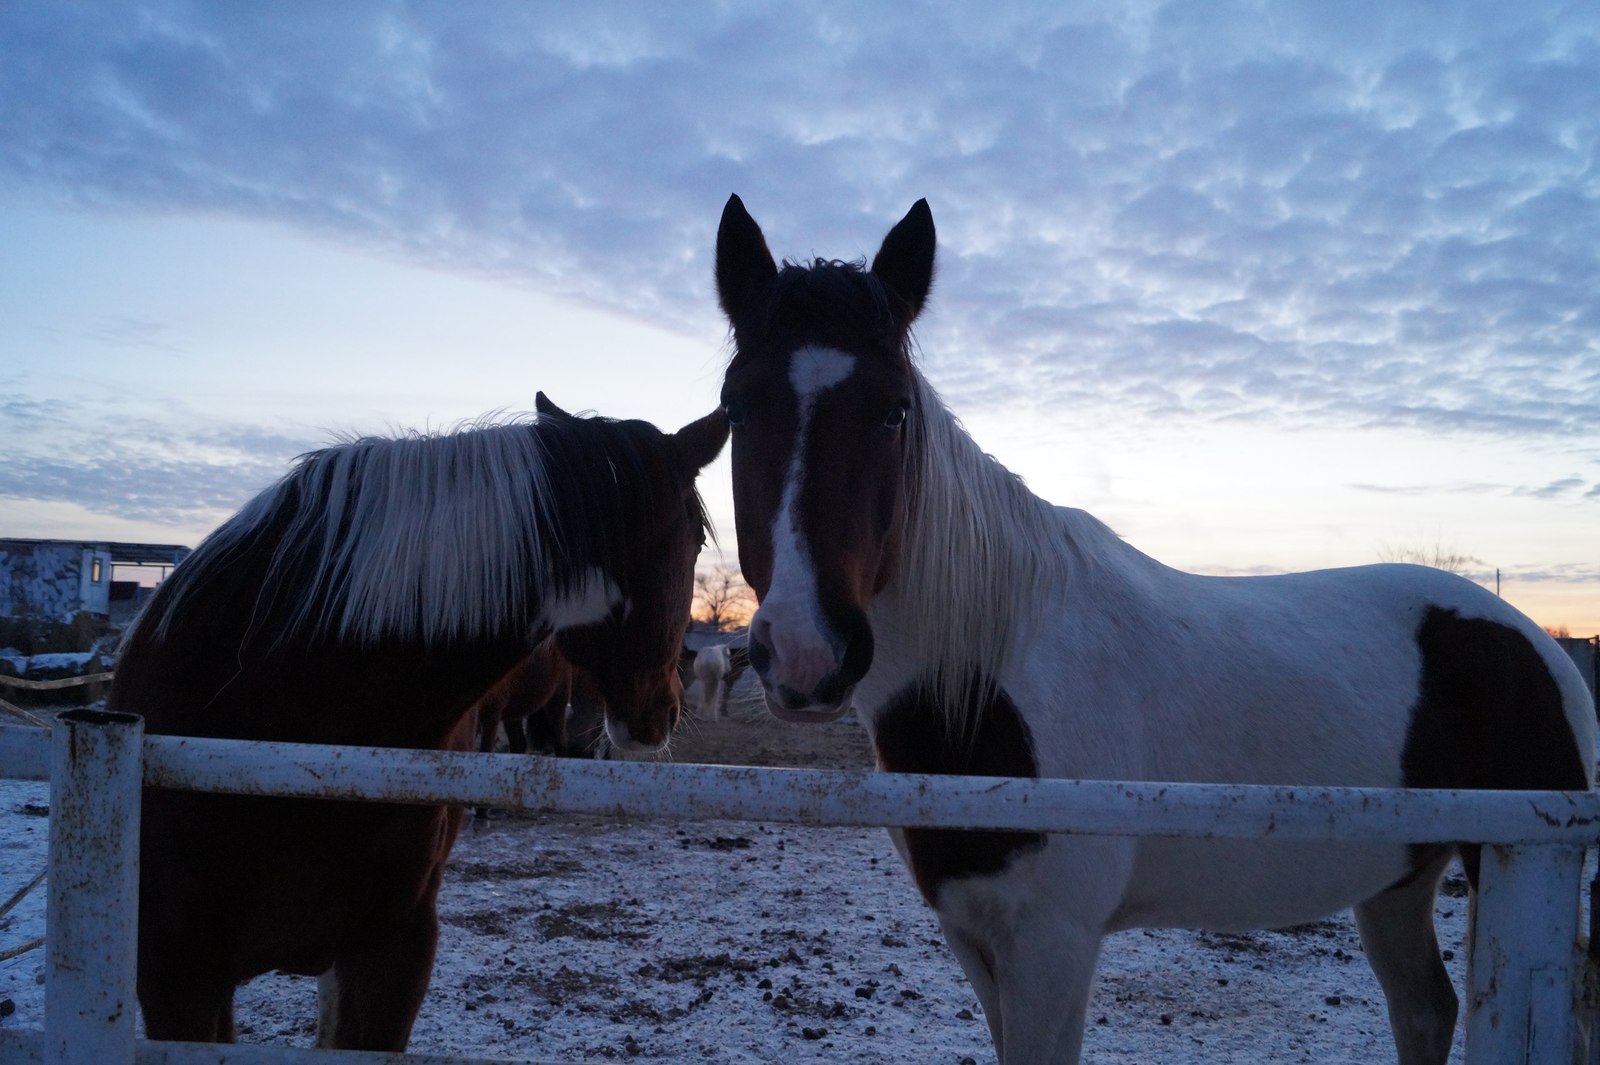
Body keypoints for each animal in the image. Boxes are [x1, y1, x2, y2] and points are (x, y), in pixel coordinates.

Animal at [720, 192, 1593, 1061]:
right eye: (735, 406)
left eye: (895, 411)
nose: (805, 652)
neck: (992, 674)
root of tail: (1536, 644)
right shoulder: (975, 938)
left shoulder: (1052, 946)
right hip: (1398, 878)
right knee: (1424, 1008)